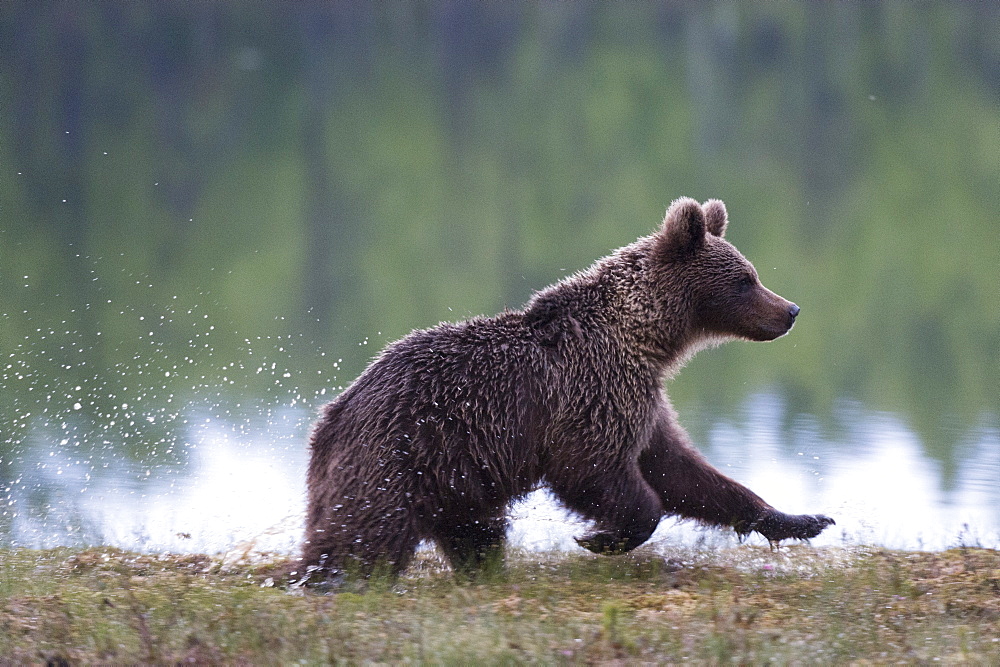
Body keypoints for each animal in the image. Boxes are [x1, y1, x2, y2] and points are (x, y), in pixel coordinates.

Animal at [304, 198, 836, 580]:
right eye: (746, 280)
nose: (790, 311)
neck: (645, 339)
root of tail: (332, 414)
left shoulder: (640, 402)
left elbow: (685, 473)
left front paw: (802, 520)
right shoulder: (590, 393)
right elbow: (595, 470)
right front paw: (601, 538)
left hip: (453, 480)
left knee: (474, 533)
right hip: (401, 457)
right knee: (366, 536)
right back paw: (332, 579)